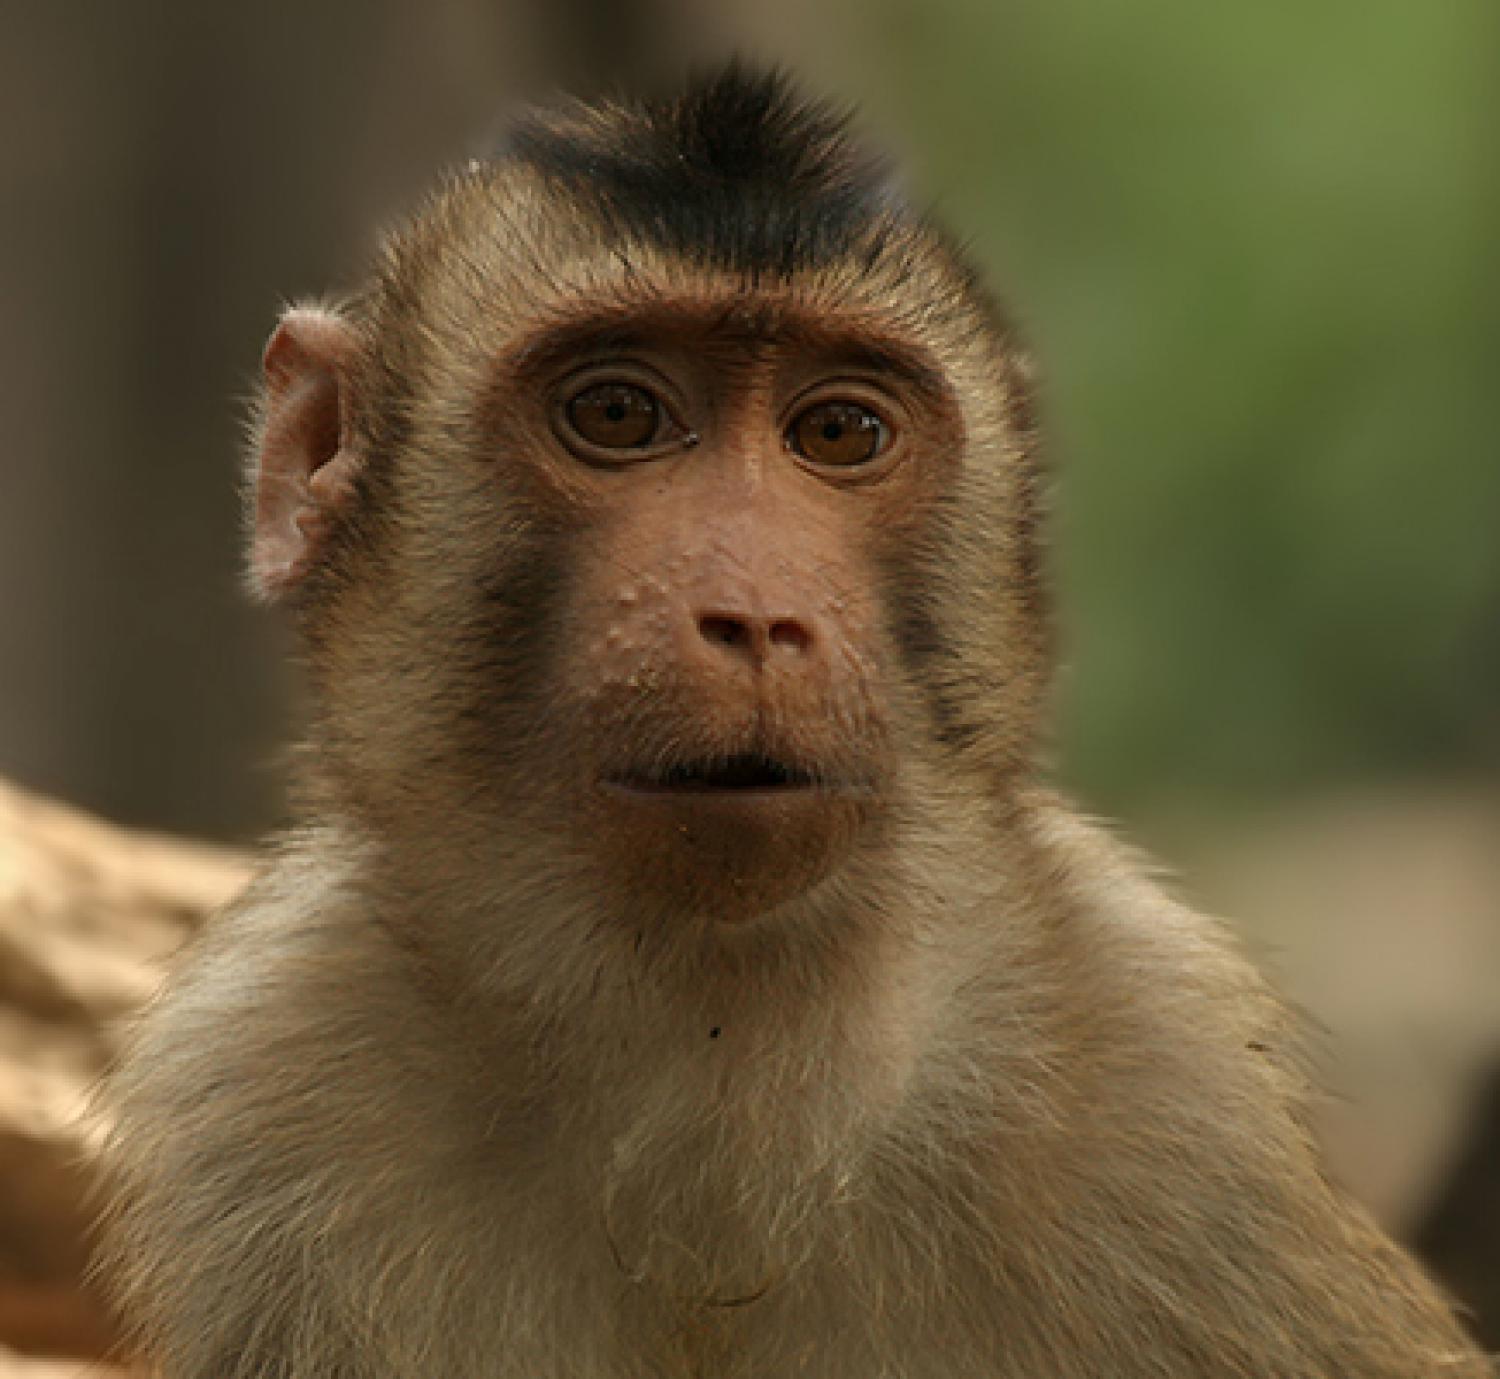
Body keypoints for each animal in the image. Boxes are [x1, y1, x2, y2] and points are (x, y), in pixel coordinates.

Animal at [99, 64, 1494, 1379]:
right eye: (617, 413)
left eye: (838, 430)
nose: (760, 616)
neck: (723, 1052)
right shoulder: (264, 1085)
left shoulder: (1185, 1076)